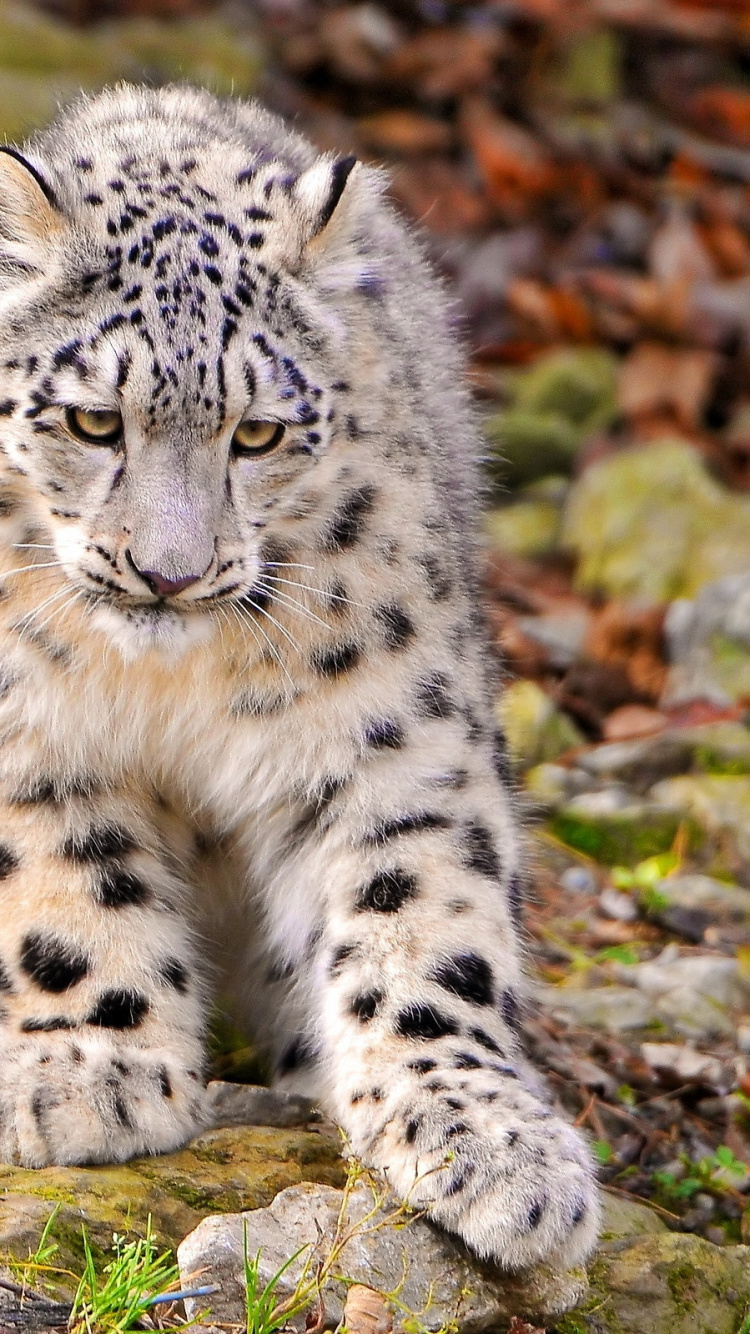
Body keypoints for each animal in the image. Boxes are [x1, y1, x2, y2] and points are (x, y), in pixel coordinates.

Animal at [0, 83, 598, 1272]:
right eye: (93, 419)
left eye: (259, 432)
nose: (170, 572)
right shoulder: (31, 729)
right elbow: (69, 876)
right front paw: (92, 1069)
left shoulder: (390, 729)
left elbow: (420, 906)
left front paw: (489, 1143)